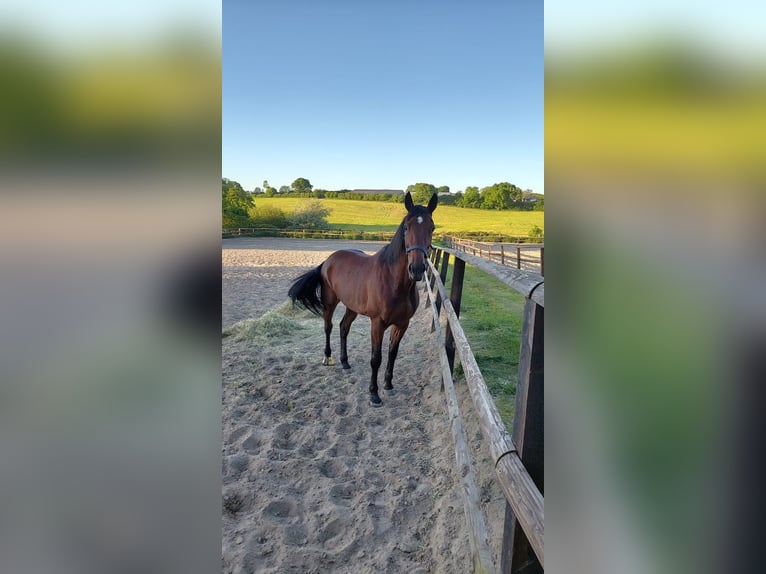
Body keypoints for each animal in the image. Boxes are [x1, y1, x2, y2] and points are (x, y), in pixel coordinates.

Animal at [290, 192, 438, 404]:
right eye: (406, 227)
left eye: (431, 228)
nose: (416, 269)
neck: (394, 282)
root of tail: (328, 260)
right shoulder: (377, 323)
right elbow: (376, 358)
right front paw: (374, 394)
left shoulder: (402, 324)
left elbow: (392, 354)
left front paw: (388, 385)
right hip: (330, 302)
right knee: (328, 327)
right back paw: (328, 358)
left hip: (352, 307)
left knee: (343, 328)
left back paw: (345, 362)